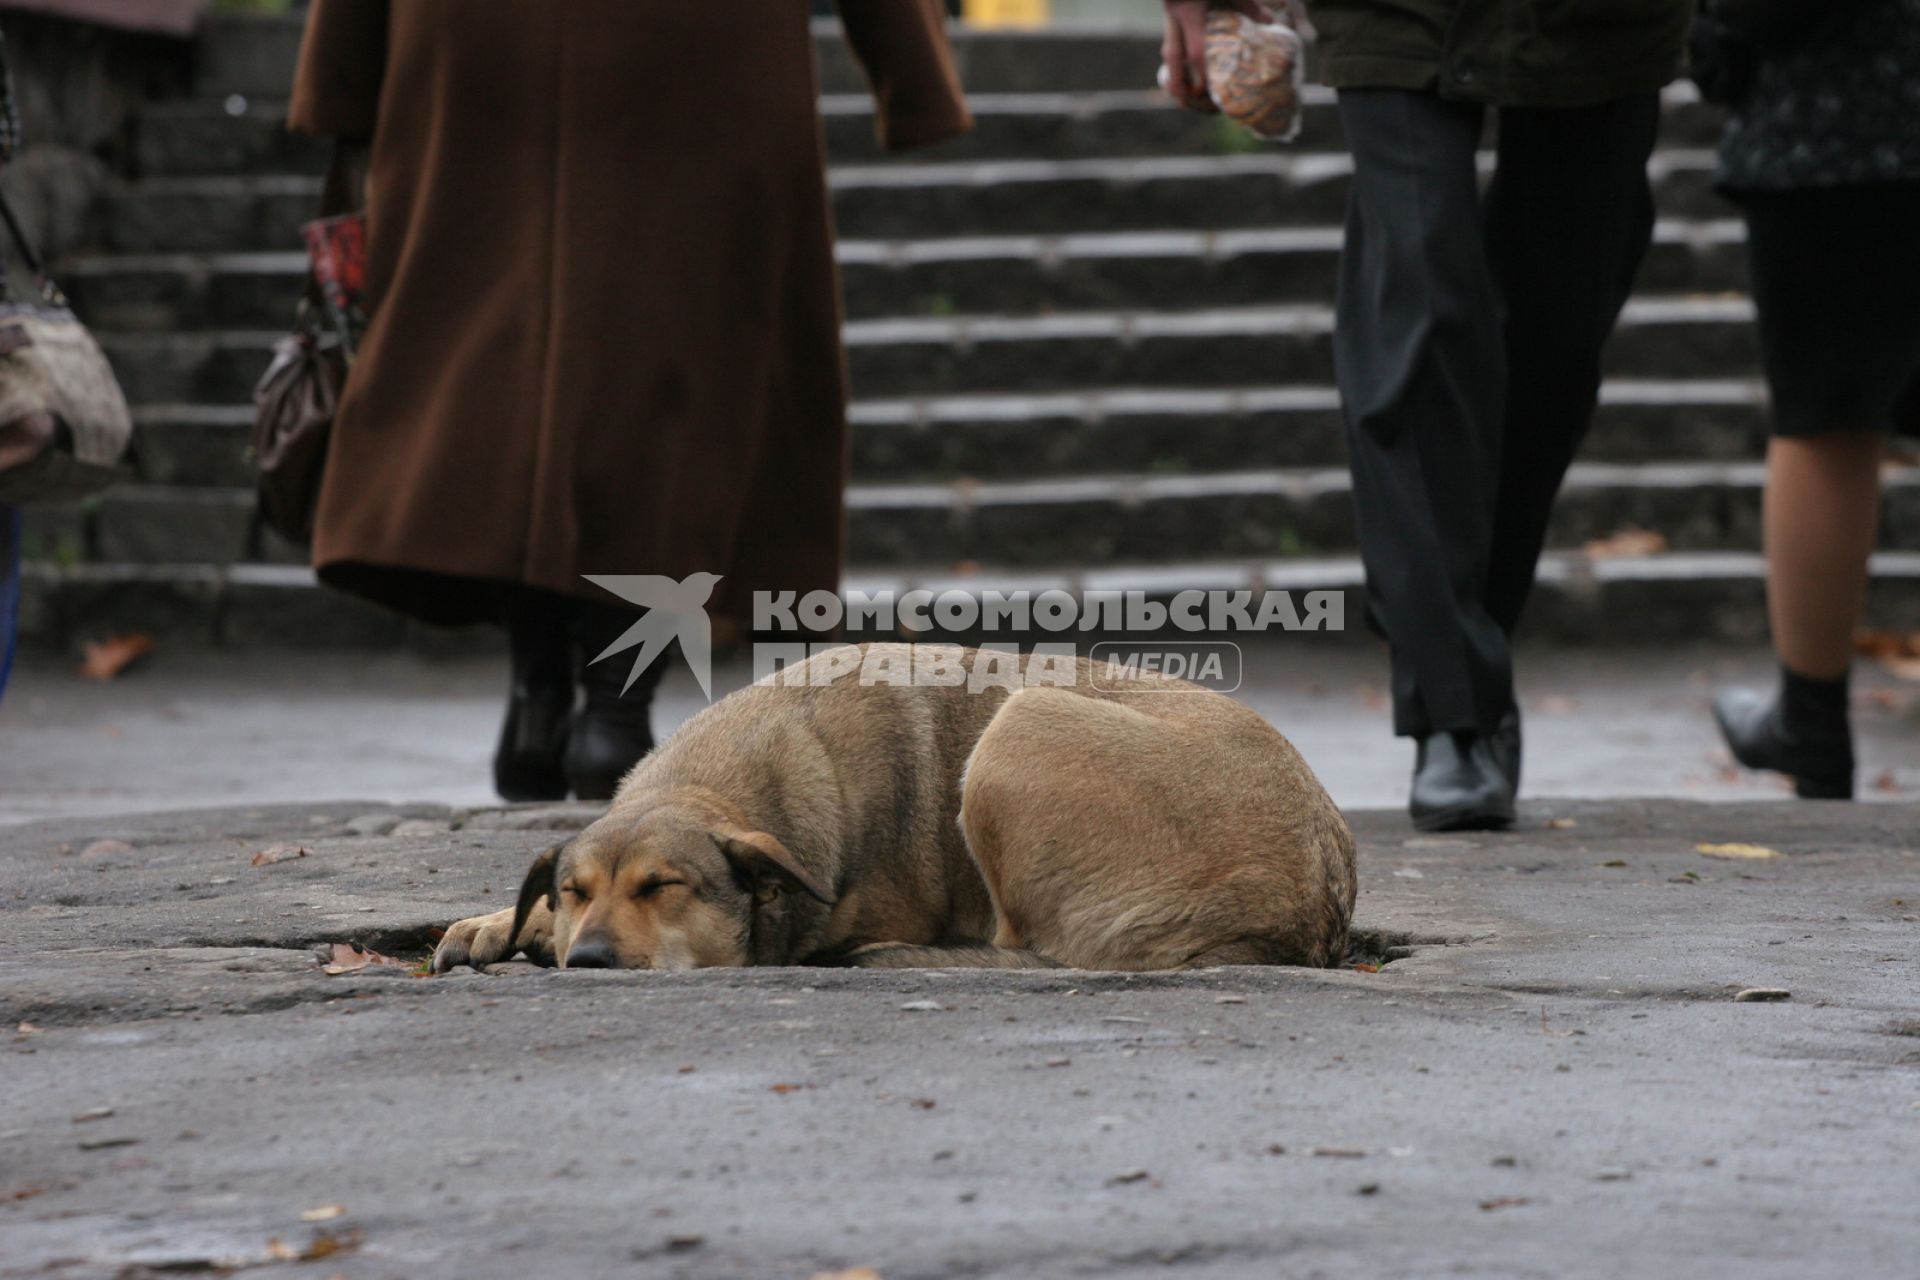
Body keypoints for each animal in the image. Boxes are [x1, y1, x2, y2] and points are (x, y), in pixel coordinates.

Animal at [433, 644, 1359, 974]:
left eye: (666, 888)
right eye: (575, 890)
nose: (589, 960)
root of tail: (1314, 909)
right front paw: (501, 925)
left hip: (1020, 725)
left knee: (1027, 947)